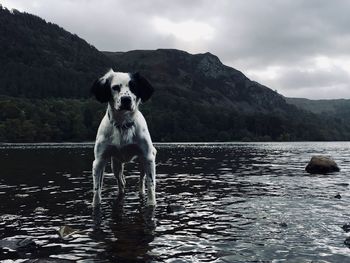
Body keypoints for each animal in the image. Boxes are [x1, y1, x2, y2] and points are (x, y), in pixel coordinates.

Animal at [90, 69, 157, 207]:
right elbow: (97, 191)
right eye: (115, 87)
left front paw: (151, 203)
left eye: (134, 87)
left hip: (142, 163)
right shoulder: (99, 161)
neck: (123, 124)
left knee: (141, 181)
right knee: (121, 182)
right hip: (115, 165)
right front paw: (96, 204)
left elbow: (151, 186)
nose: (126, 99)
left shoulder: (148, 158)